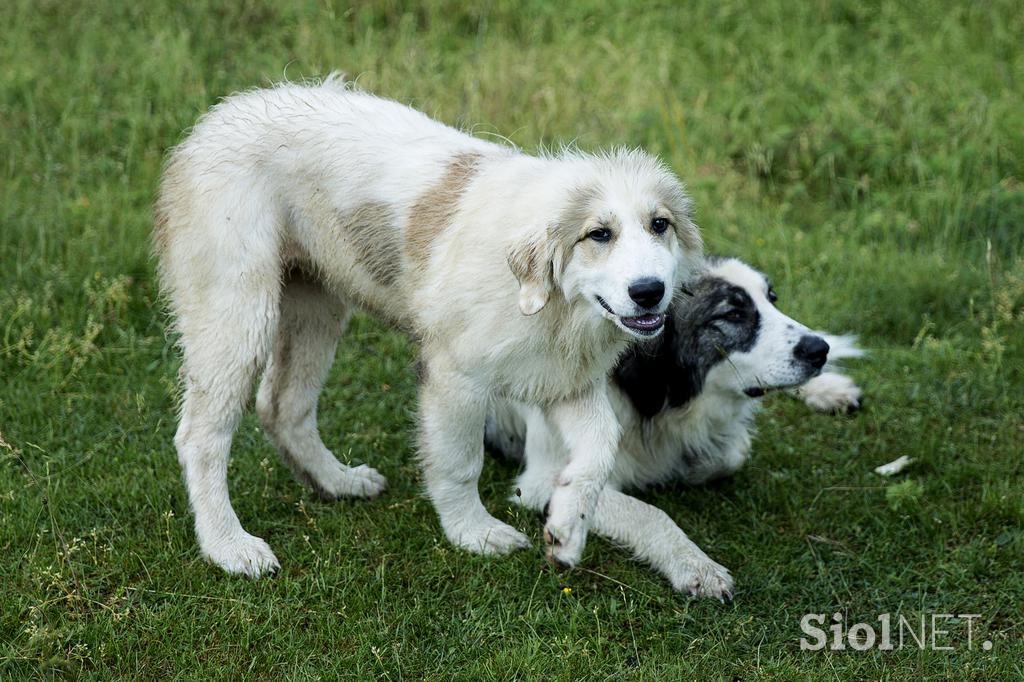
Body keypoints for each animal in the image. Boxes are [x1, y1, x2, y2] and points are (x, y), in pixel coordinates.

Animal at [153, 74, 704, 573]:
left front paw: (567, 528)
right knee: (201, 437)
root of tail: (212, 123)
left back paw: (337, 483)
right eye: (599, 234)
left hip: (316, 305)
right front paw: (473, 534)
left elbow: (600, 446)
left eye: (660, 225)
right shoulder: (455, 378)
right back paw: (228, 546)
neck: (555, 306)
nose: (649, 291)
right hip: (238, 313)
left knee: (282, 406)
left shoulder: (565, 380)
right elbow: (460, 463)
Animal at [487, 258, 864, 598]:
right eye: (732, 314)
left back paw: (829, 388)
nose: (819, 350)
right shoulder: (543, 481)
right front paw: (696, 565)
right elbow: (649, 512)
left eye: (772, 299)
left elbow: (733, 451)